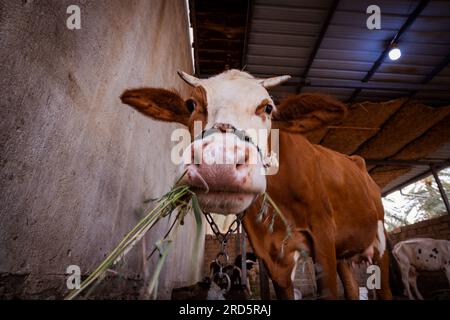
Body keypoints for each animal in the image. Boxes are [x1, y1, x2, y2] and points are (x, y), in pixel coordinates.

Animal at [121, 69, 392, 298]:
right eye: (191, 104)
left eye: (268, 108)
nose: (220, 163)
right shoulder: (273, 258)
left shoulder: (323, 236)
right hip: (344, 254)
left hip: (380, 244)